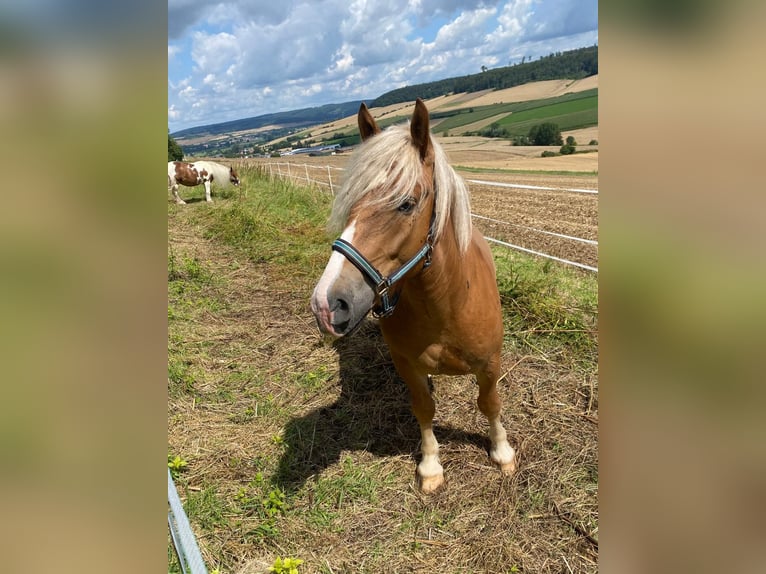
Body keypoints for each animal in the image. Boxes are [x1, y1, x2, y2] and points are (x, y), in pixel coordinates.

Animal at [310, 100, 516, 496]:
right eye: (350, 202)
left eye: (406, 204)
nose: (327, 304)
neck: (448, 304)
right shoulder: (409, 366)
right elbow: (423, 408)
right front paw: (431, 465)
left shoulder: (490, 364)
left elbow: (489, 403)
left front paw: (502, 452)